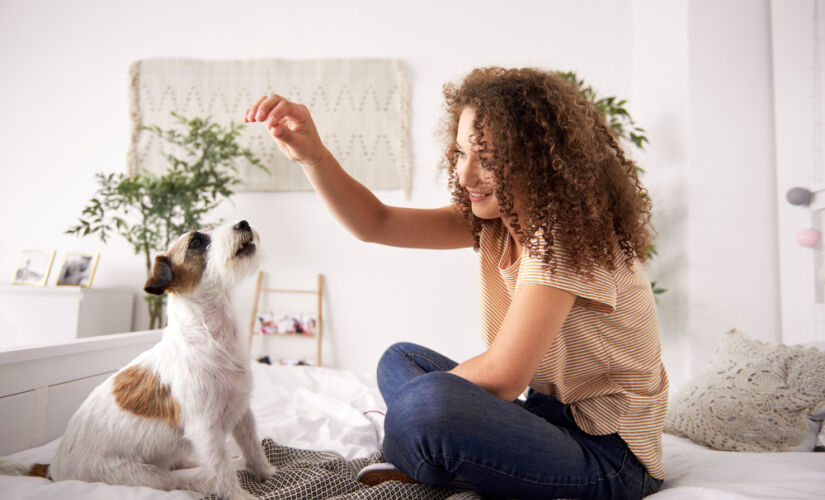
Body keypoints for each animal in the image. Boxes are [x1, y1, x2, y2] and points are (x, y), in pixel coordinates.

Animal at [1, 220, 276, 500]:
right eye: (196, 242)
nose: (243, 223)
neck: (211, 335)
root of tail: (52, 469)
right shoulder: (206, 429)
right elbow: (221, 469)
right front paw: (239, 494)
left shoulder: (243, 412)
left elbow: (253, 447)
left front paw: (266, 472)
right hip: (141, 474)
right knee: (179, 479)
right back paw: (202, 480)